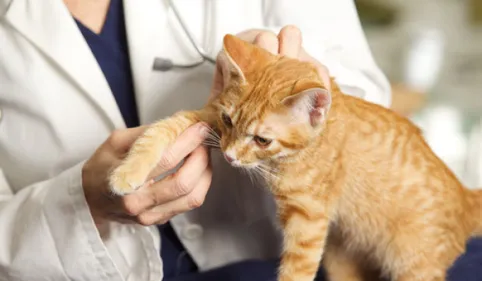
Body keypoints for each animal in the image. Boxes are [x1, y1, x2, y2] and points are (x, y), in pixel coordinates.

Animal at [108, 34, 482, 278]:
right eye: (229, 121)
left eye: (262, 139)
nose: (228, 157)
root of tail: (465, 196)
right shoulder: (207, 117)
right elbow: (161, 130)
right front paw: (127, 173)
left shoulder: (309, 223)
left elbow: (296, 271)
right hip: (341, 258)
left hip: (413, 264)